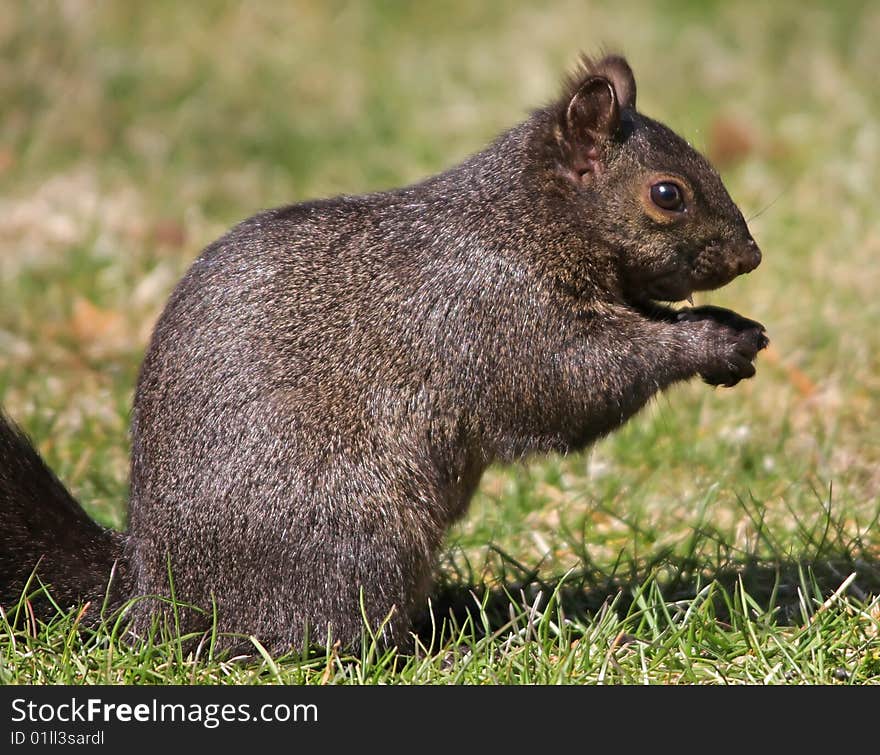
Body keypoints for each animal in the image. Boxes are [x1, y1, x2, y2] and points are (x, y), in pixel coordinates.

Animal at [0, 56, 764, 652]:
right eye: (667, 194)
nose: (750, 257)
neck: (522, 222)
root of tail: (156, 599)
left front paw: (729, 325)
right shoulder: (495, 314)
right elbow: (571, 384)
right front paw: (709, 341)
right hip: (354, 539)